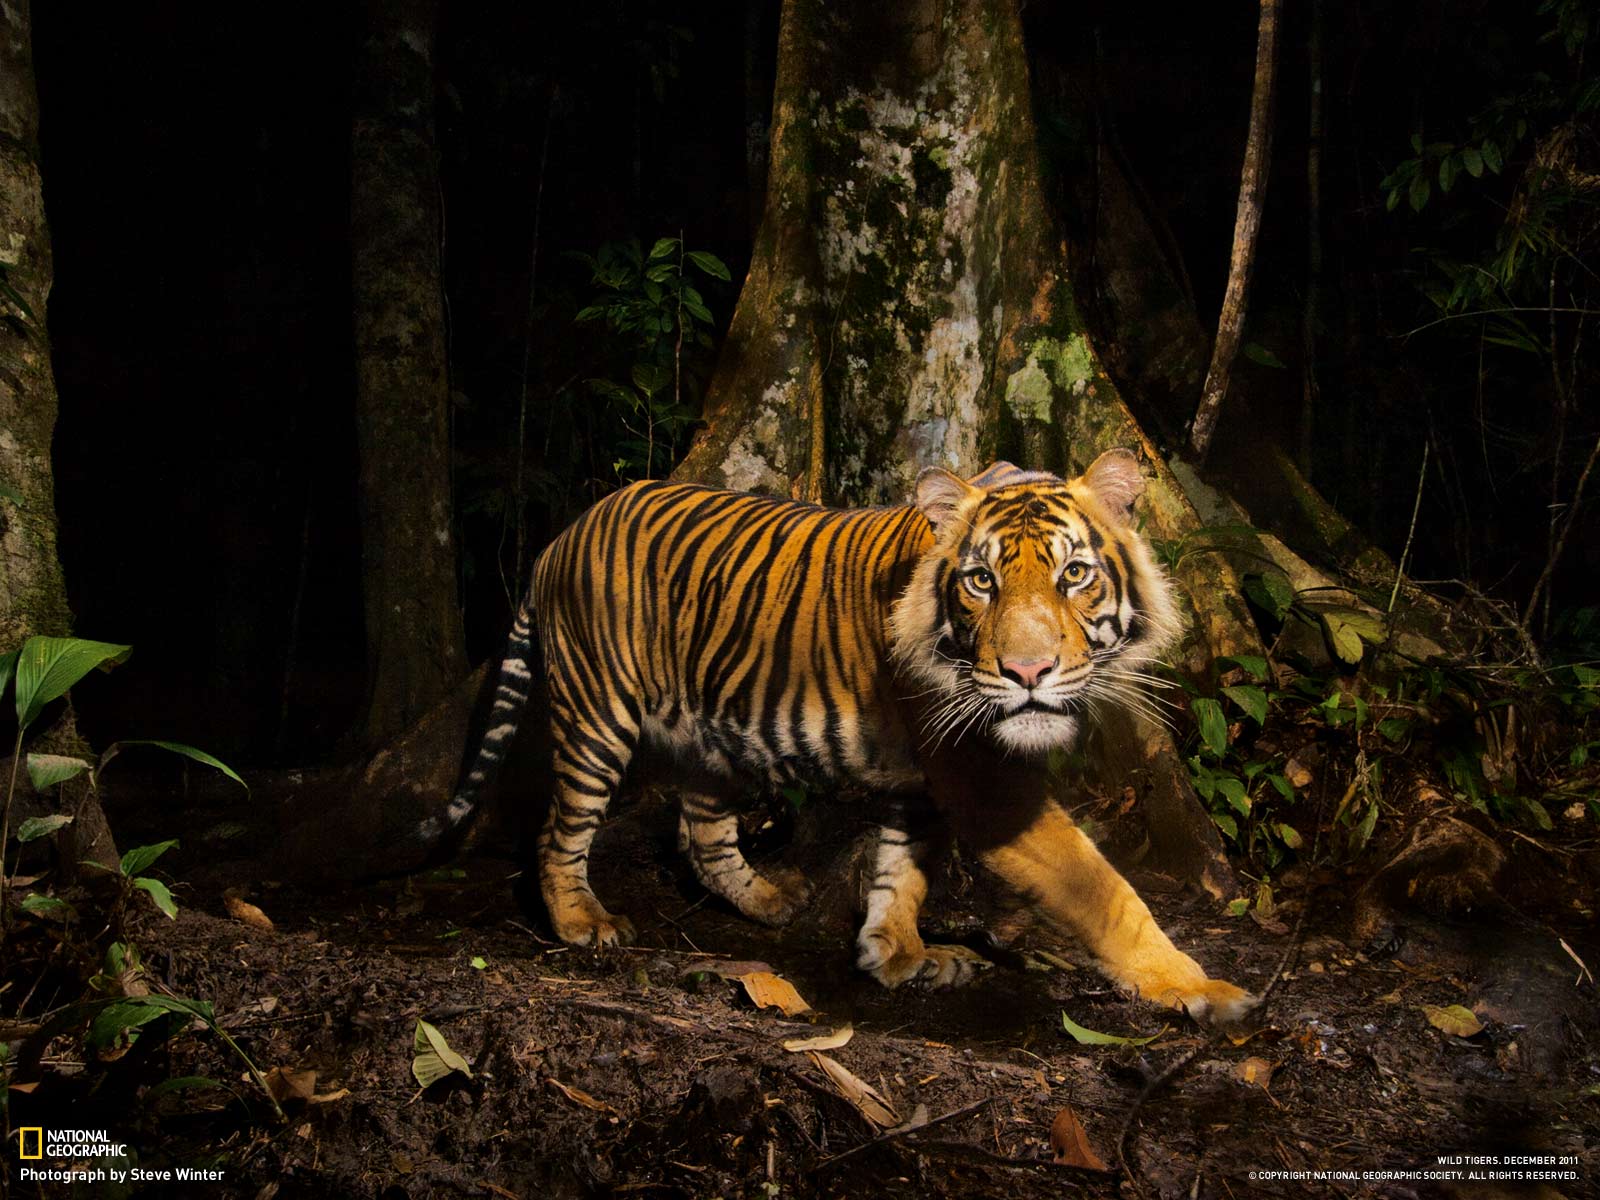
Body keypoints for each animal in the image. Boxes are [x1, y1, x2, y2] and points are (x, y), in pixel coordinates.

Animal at [426, 448, 1255, 1023]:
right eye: (980, 581)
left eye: (1074, 574)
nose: (1026, 671)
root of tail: (561, 536)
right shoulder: (981, 780)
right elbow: (1104, 889)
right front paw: (1197, 987)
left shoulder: (925, 778)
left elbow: (902, 871)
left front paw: (898, 955)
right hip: (598, 714)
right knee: (561, 829)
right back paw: (582, 921)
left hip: (711, 732)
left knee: (703, 834)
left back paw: (769, 901)